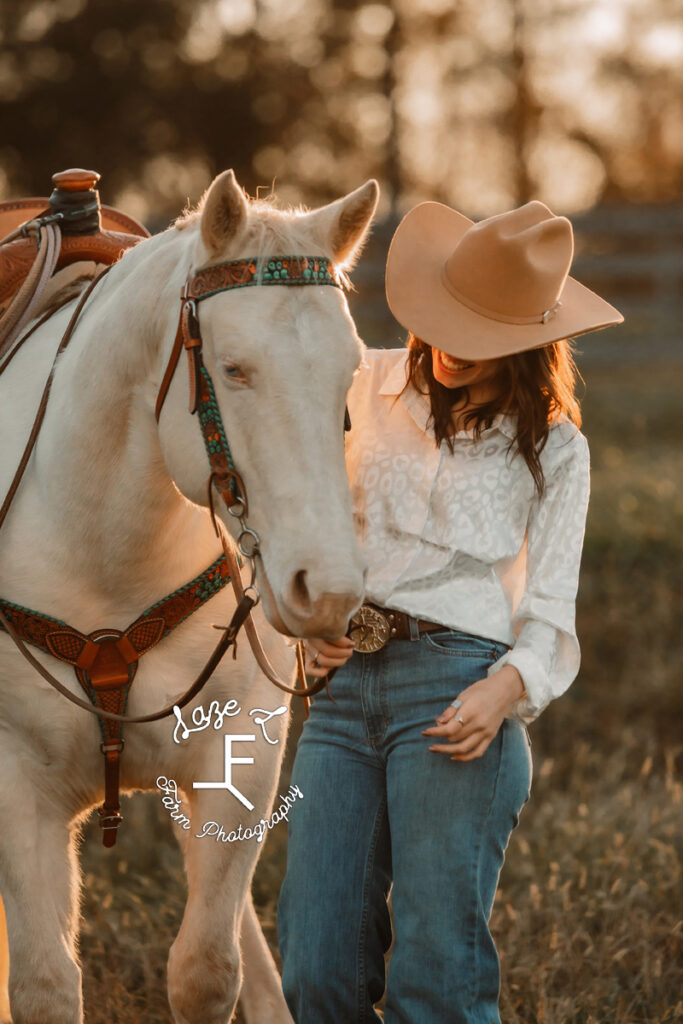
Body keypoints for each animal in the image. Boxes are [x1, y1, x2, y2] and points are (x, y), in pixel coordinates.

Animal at [0, 169, 378, 1024]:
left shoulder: (239, 757)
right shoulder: (15, 788)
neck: (105, 552)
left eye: (349, 374)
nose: (325, 590)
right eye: (232, 369)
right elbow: (43, 984)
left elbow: (207, 967)